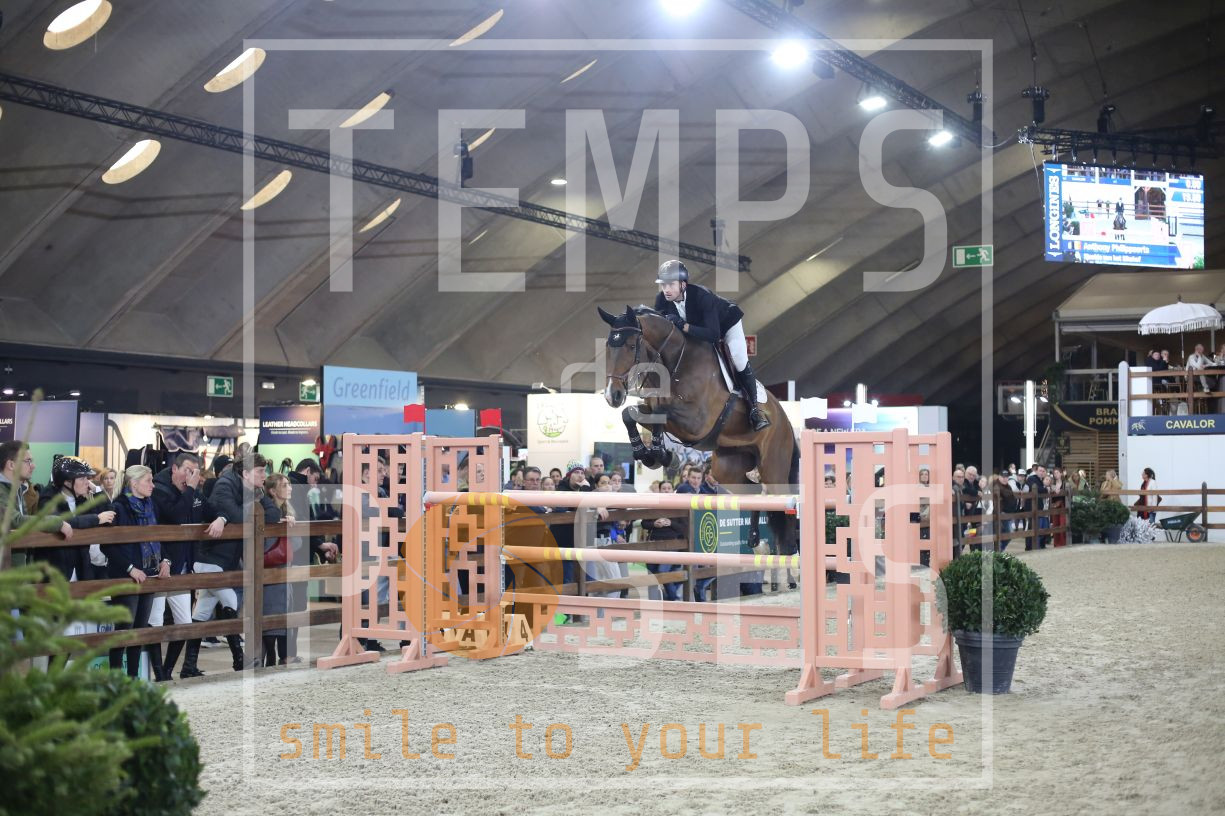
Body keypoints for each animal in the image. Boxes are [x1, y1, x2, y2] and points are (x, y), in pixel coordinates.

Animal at [597, 305, 798, 588]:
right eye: (608, 345)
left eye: (629, 345)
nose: (612, 395)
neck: (673, 363)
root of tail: (786, 420)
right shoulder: (657, 409)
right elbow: (633, 413)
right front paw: (651, 454)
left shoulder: (695, 422)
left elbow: (658, 412)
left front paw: (658, 454)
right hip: (729, 466)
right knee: (753, 492)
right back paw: (754, 540)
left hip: (774, 466)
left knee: (784, 507)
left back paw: (790, 567)